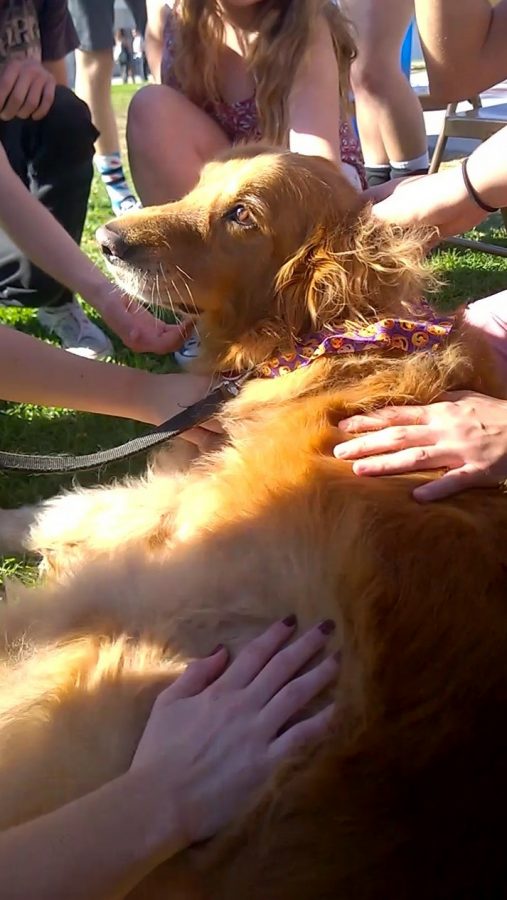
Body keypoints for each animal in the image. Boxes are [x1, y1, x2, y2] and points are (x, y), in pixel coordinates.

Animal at [0, 149, 507, 900]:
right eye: (200, 183)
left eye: (241, 213)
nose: (108, 239)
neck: (325, 344)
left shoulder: (168, 514)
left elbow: (73, 506)